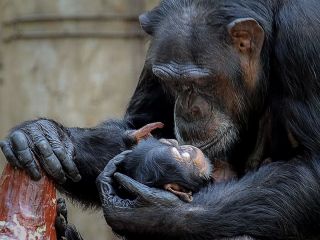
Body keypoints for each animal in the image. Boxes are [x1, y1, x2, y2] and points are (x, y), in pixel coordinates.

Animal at [1, 0, 320, 239]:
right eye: (172, 83)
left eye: (199, 82)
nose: (189, 109)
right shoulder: (156, 54)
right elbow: (141, 128)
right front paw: (45, 136)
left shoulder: (305, 35)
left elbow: (314, 166)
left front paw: (153, 213)